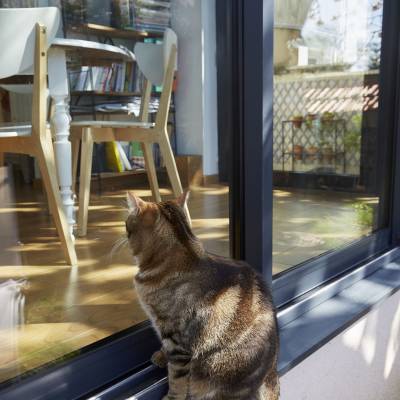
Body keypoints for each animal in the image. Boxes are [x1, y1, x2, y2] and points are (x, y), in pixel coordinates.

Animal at [126, 192, 280, 398]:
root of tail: (272, 373)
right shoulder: (167, 333)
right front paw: (160, 355)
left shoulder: (177, 342)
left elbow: (177, 380)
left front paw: (170, 397)